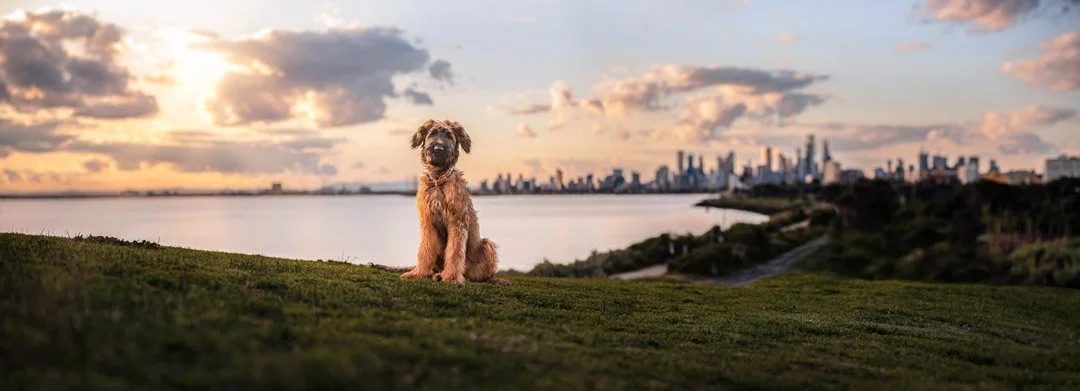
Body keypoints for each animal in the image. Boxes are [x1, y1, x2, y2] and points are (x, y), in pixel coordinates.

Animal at [401, 117, 509, 285]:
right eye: (432, 133)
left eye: (449, 136)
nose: (438, 149)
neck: (439, 180)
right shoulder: (428, 222)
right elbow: (425, 248)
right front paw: (418, 273)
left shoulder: (457, 221)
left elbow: (455, 252)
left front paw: (452, 278)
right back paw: (437, 273)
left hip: (486, 245)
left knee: (476, 274)